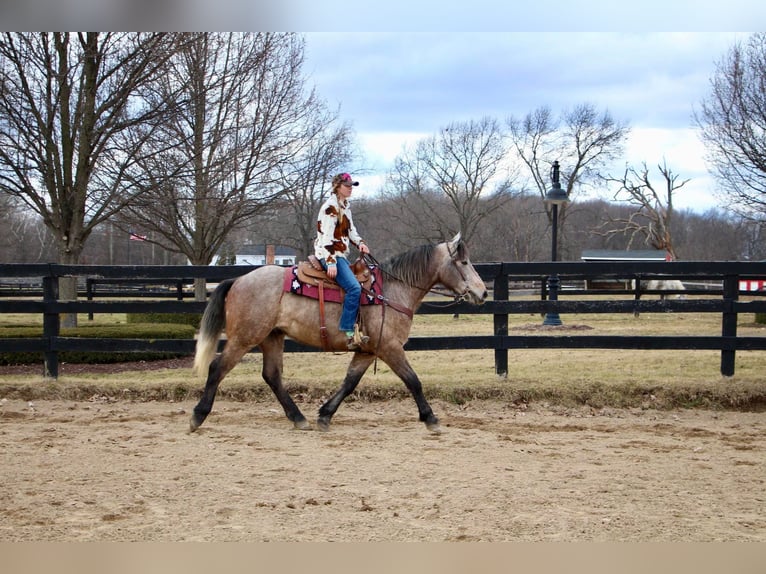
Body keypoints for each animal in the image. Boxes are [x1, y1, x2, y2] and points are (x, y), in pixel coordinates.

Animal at [189, 232, 486, 434]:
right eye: (464, 262)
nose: (482, 292)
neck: (391, 290)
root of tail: (238, 279)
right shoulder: (389, 347)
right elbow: (413, 380)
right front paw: (431, 418)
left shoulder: (368, 350)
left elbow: (350, 382)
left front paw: (324, 414)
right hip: (244, 338)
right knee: (217, 368)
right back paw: (198, 416)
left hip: (272, 337)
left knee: (271, 376)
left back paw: (299, 418)